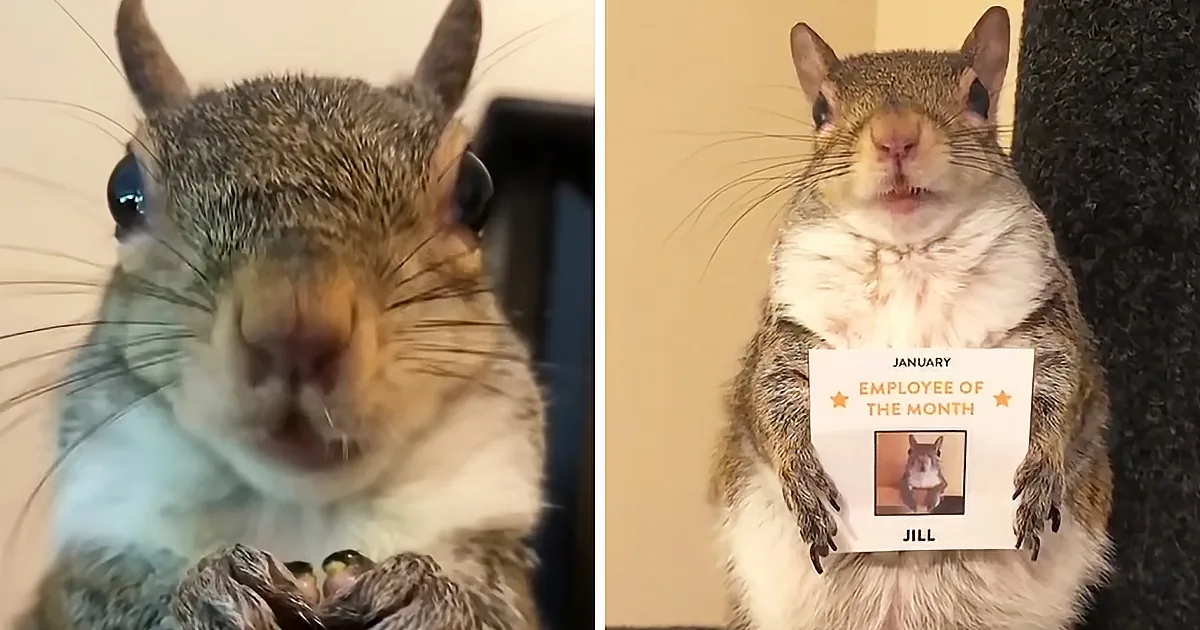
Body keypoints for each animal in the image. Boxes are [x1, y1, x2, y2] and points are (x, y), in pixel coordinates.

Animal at [16, 0, 545, 628]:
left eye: (475, 192)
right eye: (123, 193)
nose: (295, 327)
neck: (300, 513)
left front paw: (426, 595)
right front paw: (206, 595)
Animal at [710, 6, 1113, 630]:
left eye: (979, 95)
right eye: (820, 109)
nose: (896, 135)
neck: (909, 258)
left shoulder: (1046, 325)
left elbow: (1067, 389)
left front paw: (1041, 471)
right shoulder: (787, 337)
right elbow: (767, 403)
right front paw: (803, 480)